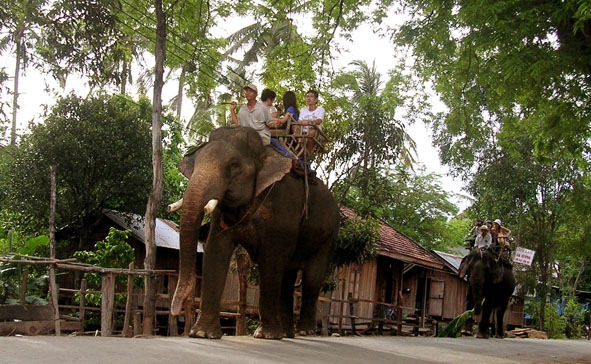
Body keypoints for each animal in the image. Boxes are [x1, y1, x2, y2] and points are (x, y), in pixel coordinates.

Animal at [169, 126, 340, 340]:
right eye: (196, 162)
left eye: (233, 166)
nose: (175, 313)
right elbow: (216, 251)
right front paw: (202, 333)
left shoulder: (282, 206)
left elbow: (271, 260)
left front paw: (265, 335)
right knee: (288, 277)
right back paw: (287, 333)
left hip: (330, 235)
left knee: (312, 277)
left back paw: (305, 331)